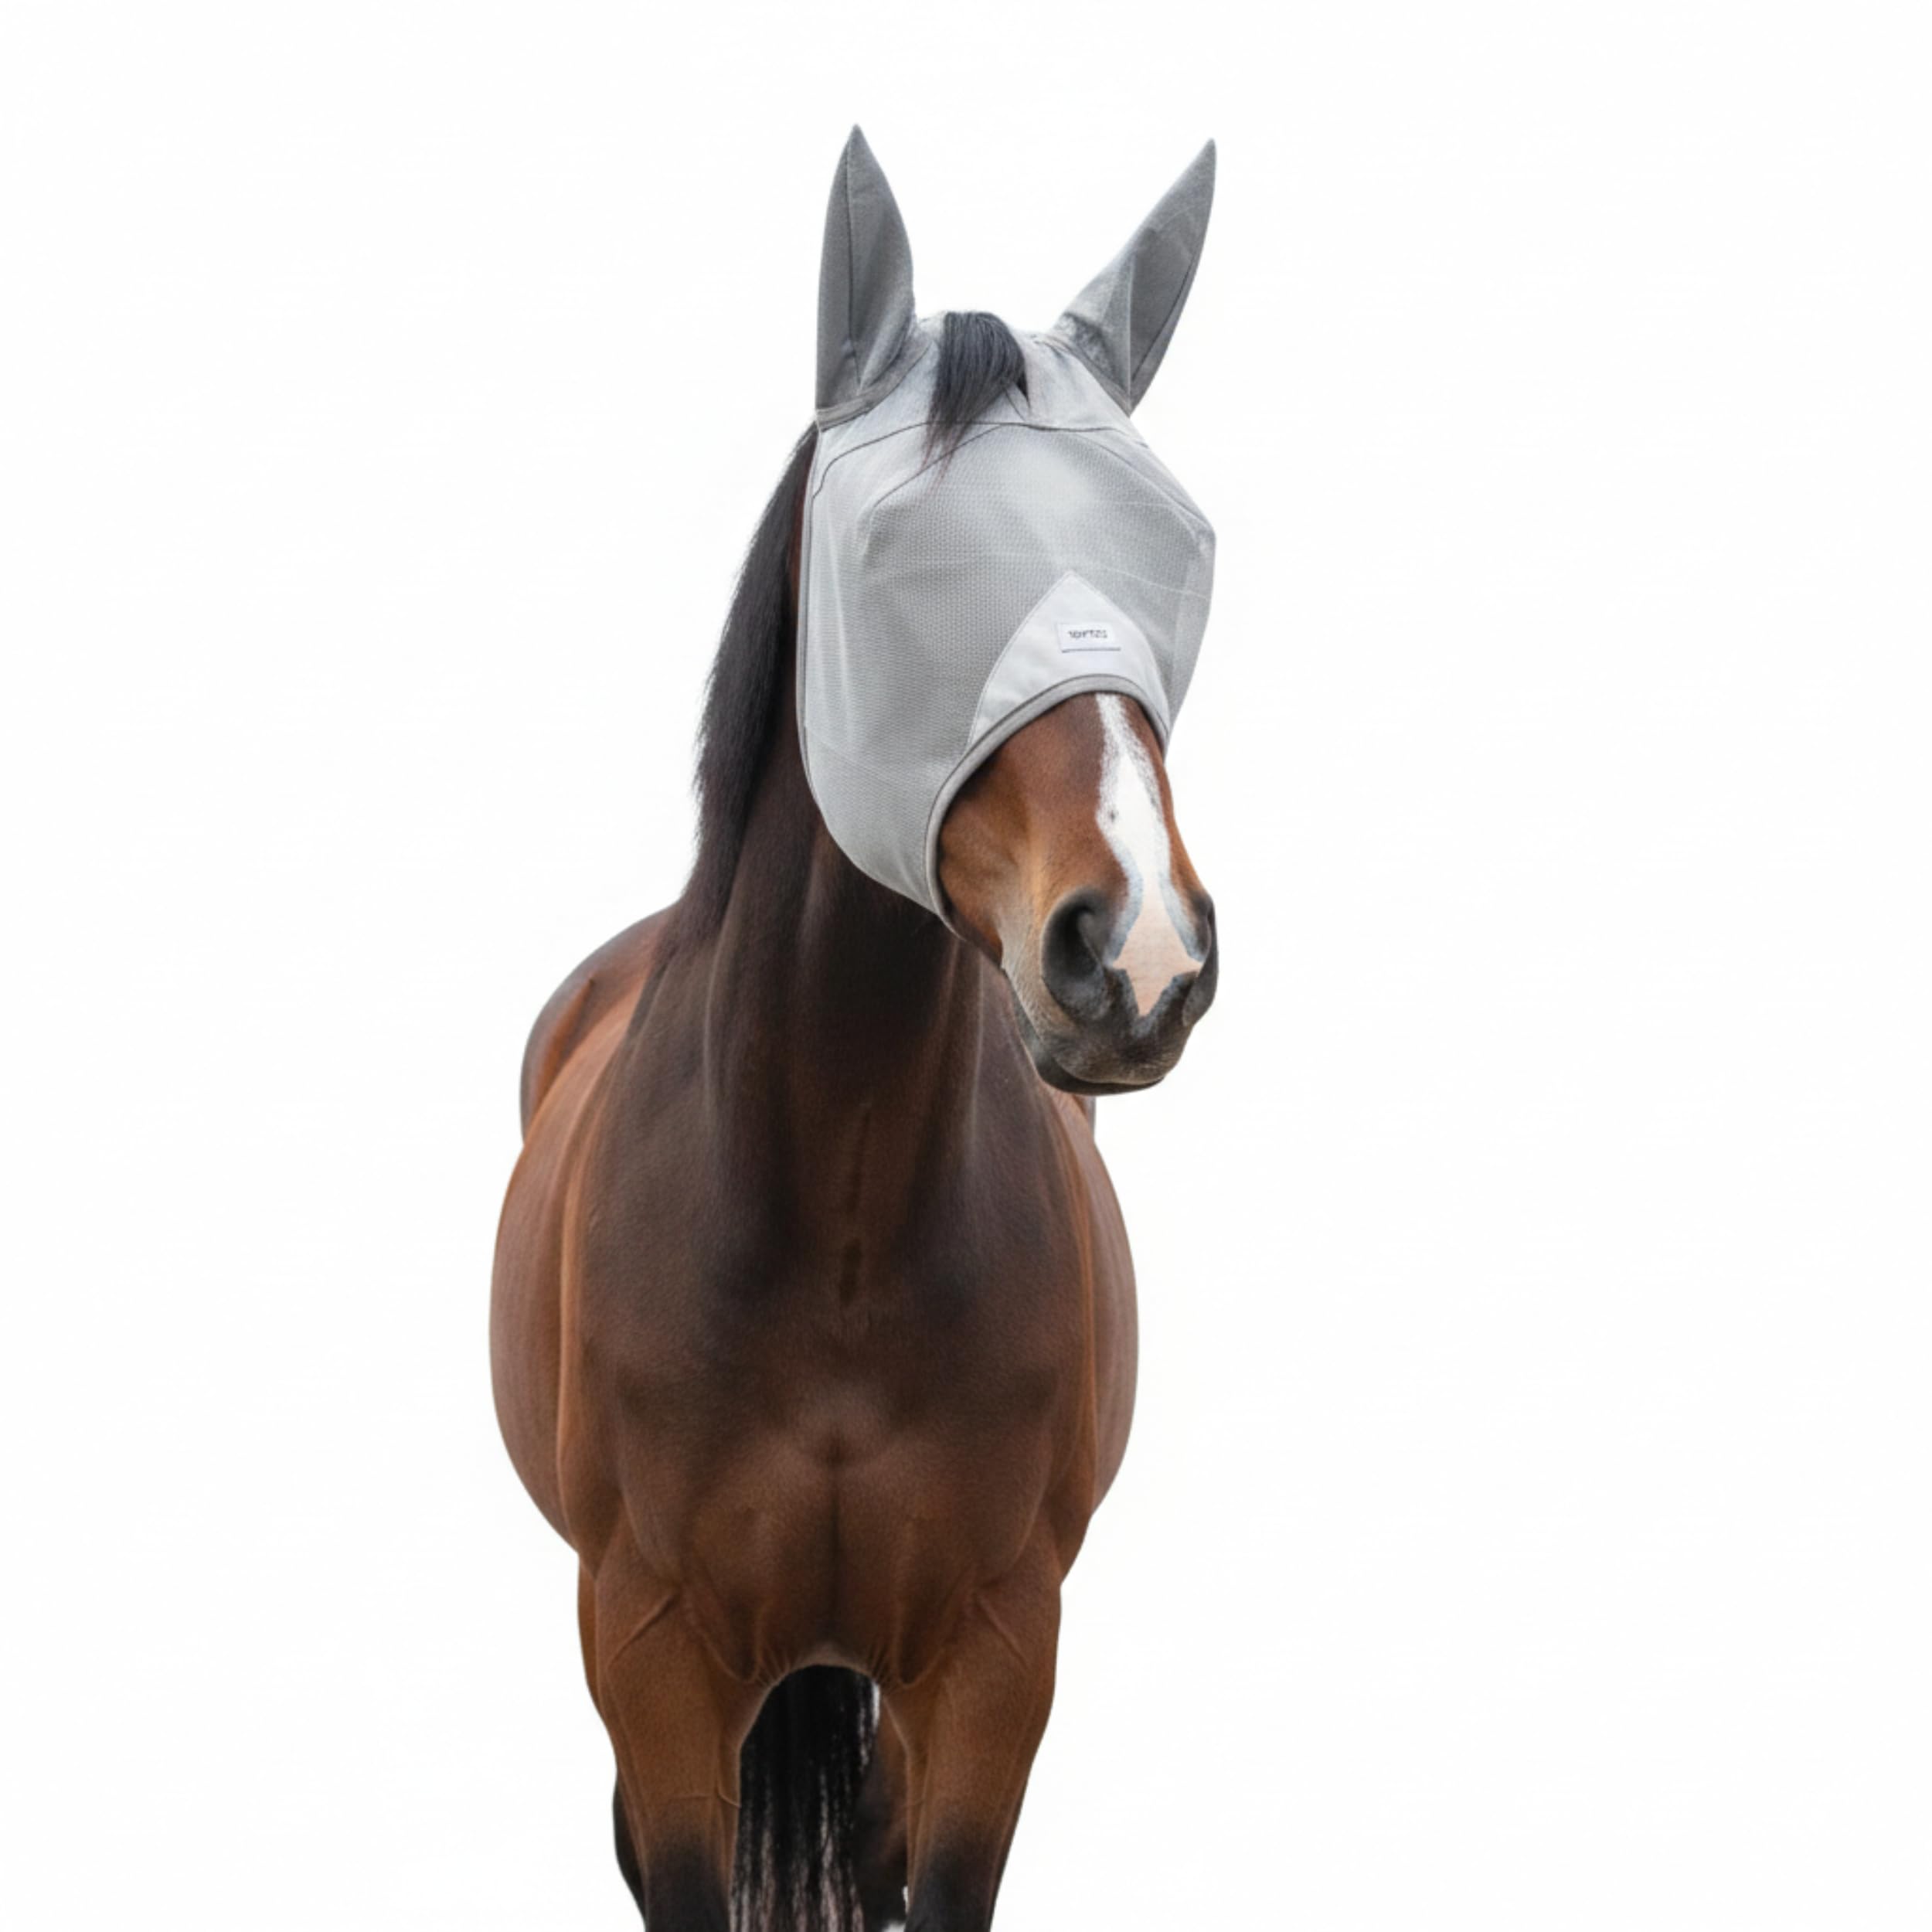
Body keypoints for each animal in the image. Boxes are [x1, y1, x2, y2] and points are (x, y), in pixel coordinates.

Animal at [491, 129, 1221, 1932]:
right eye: (898, 566)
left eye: (1172, 546)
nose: (1136, 954)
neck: (831, 1221)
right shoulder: (651, 1658)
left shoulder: (995, 1662)